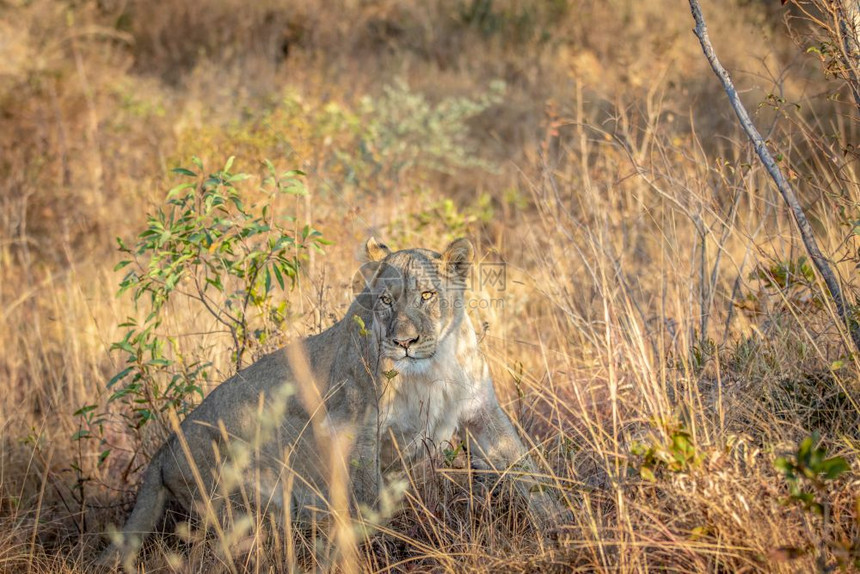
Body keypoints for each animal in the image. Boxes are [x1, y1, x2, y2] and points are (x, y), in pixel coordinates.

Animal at [99, 240, 564, 572]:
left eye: (428, 295)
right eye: (386, 301)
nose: (404, 342)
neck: (431, 367)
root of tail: (163, 451)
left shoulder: (482, 411)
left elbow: (527, 472)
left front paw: (563, 526)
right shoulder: (357, 425)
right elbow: (369, 499)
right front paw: (387, 552)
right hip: (250, 511)